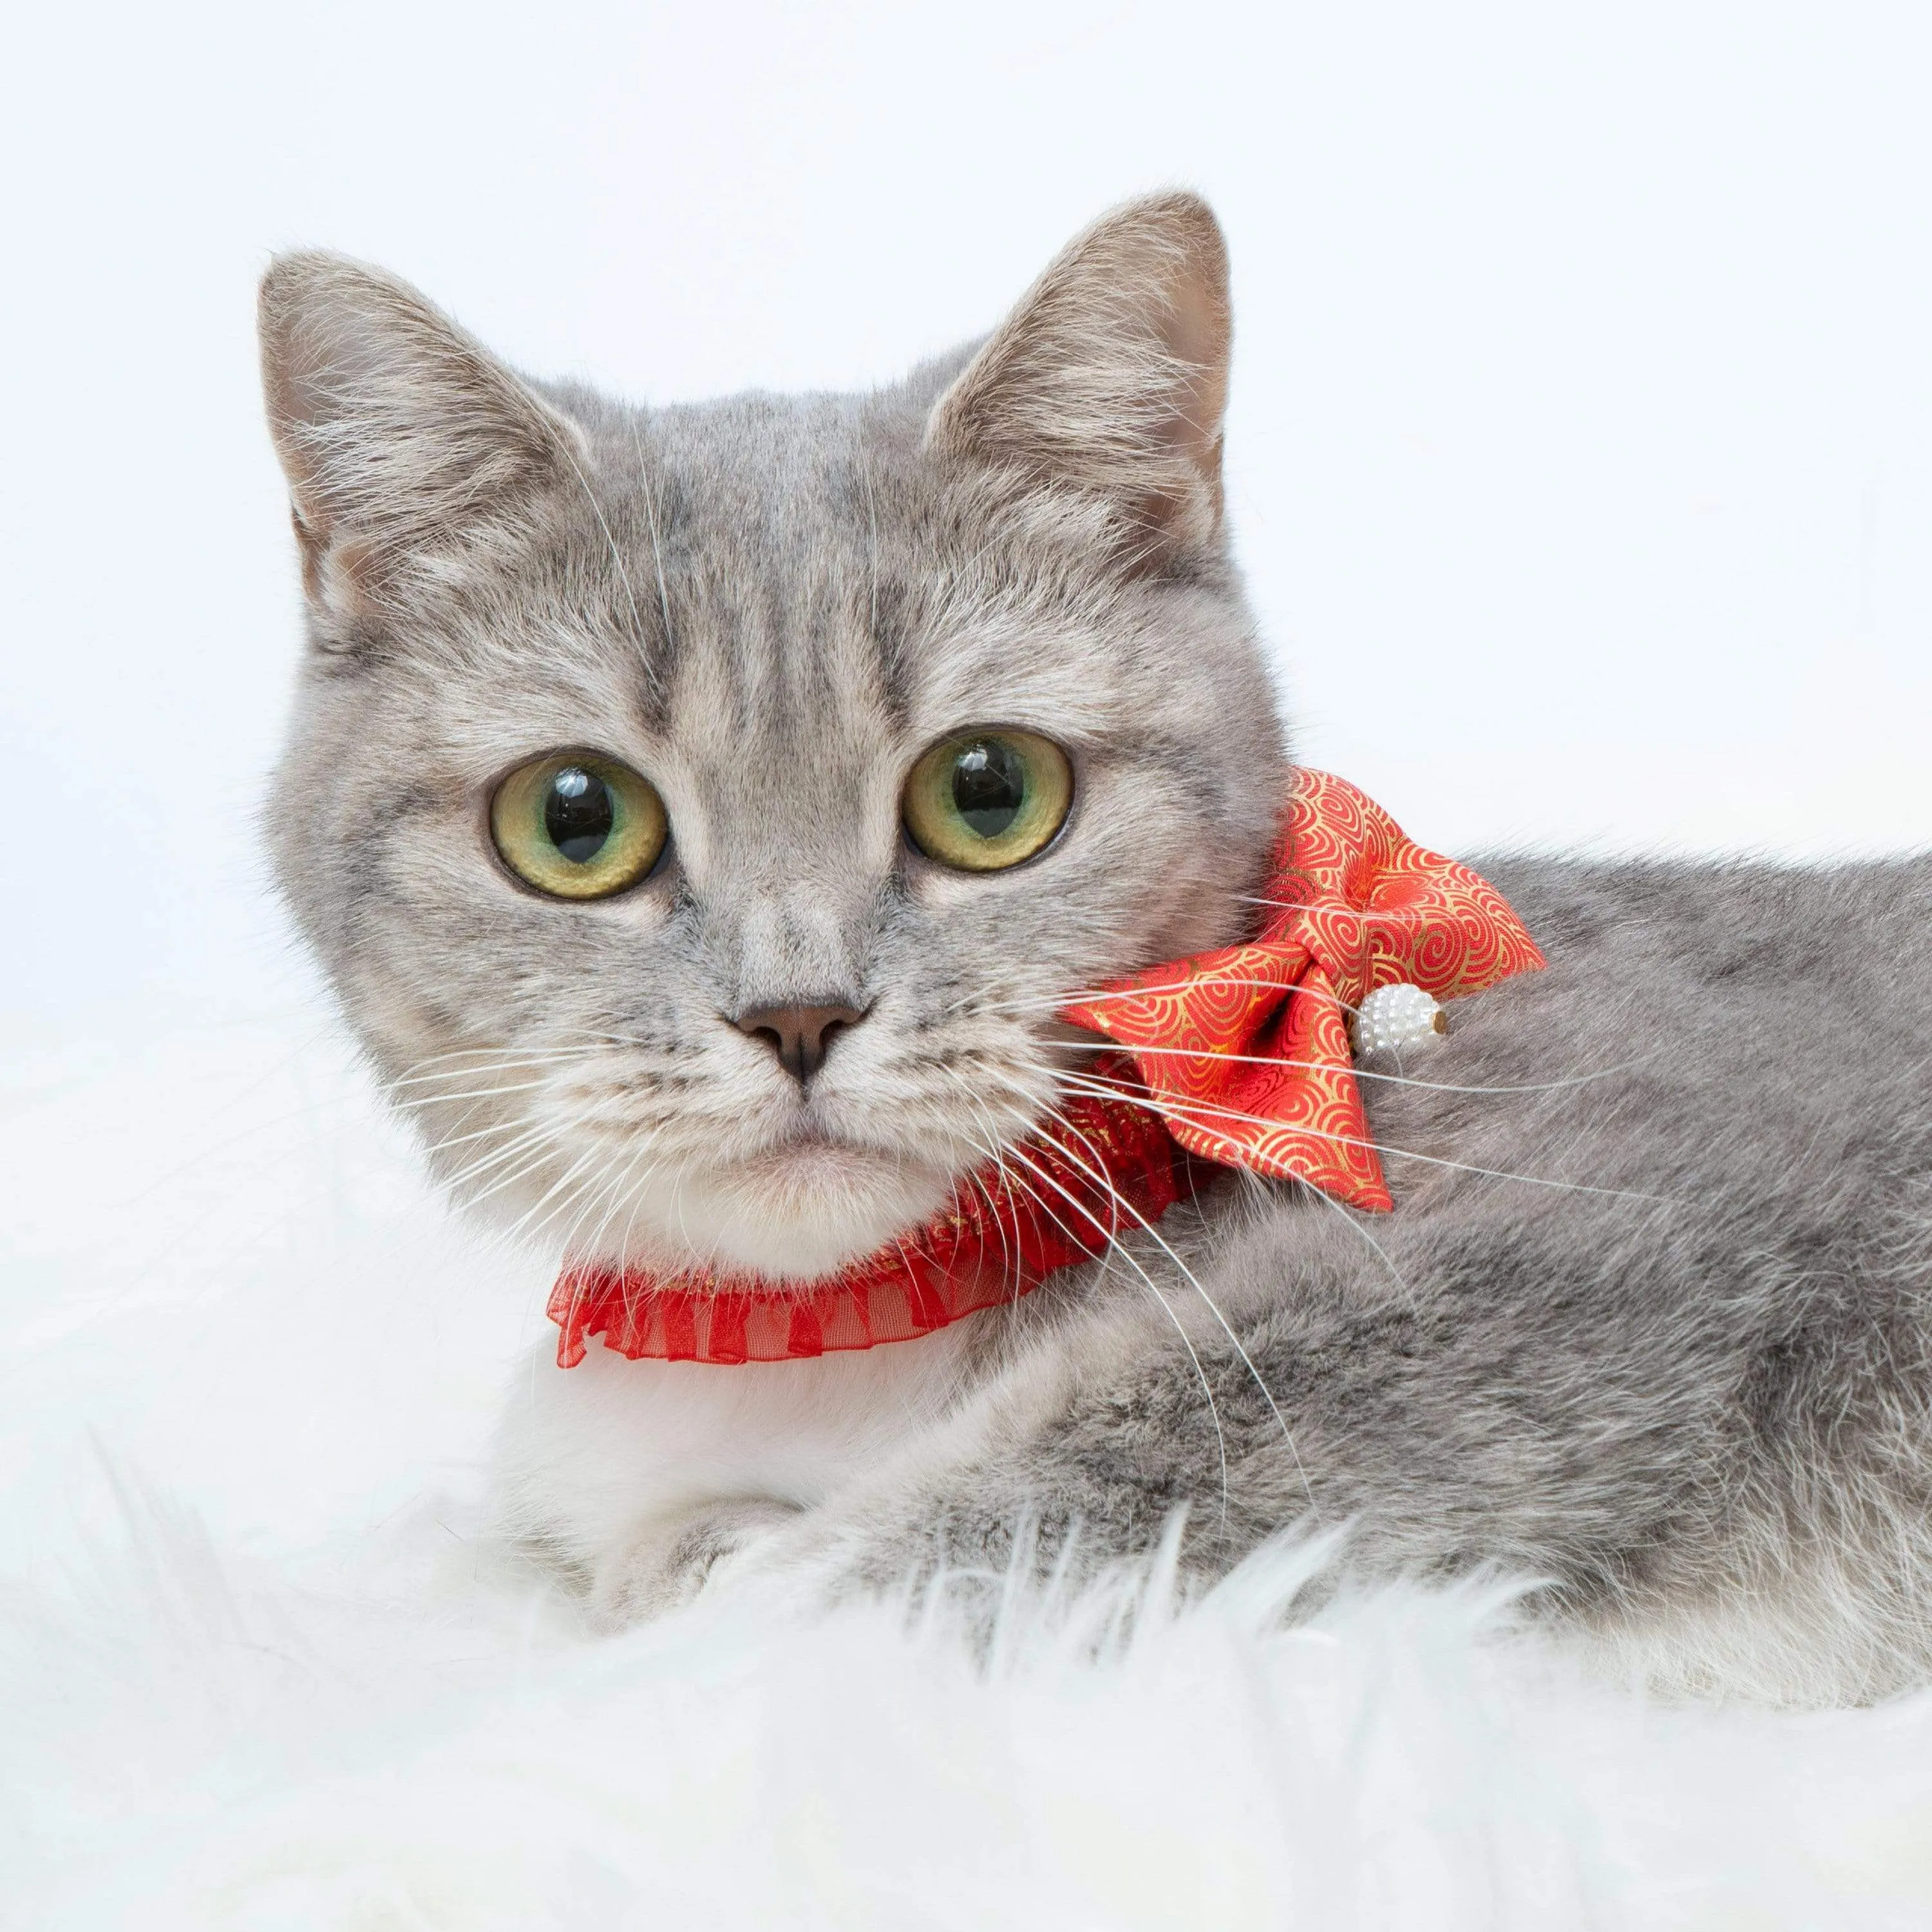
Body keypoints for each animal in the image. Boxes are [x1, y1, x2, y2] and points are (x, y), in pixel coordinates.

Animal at [257, 196, 1932, 1708]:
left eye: (989, 791)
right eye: (575, 818)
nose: (798, 1012)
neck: (821, 1344)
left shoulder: (1570, 1249)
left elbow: (962, 1527)